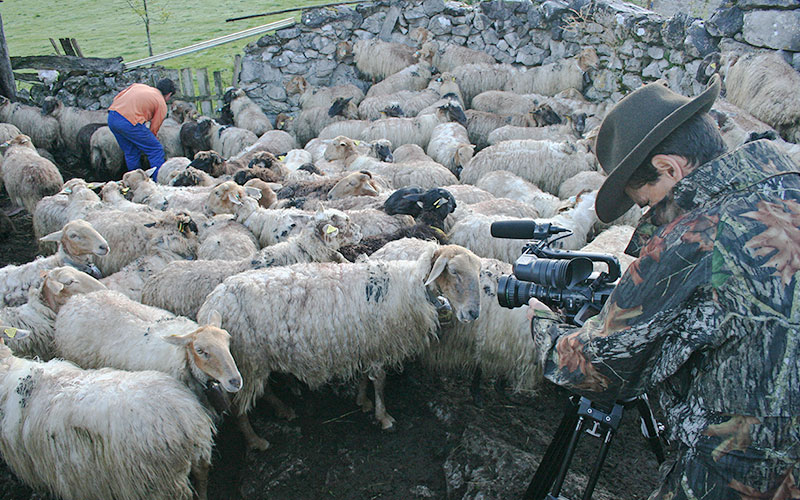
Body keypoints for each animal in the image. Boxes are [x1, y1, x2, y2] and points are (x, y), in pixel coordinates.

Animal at [194, 245, 482, 450]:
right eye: (453, 271)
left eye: (478, 272)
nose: (473, 313)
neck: (408, 287)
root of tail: (212, 302)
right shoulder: (378, 342)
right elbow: (380, 381)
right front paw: (384, 417)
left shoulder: (364, 342)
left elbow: (366, 378)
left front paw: (363, 401)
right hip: (245, 359)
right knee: (238, 405)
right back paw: (255, 440)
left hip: (254, 358)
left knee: (261, 391)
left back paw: (283, 409)